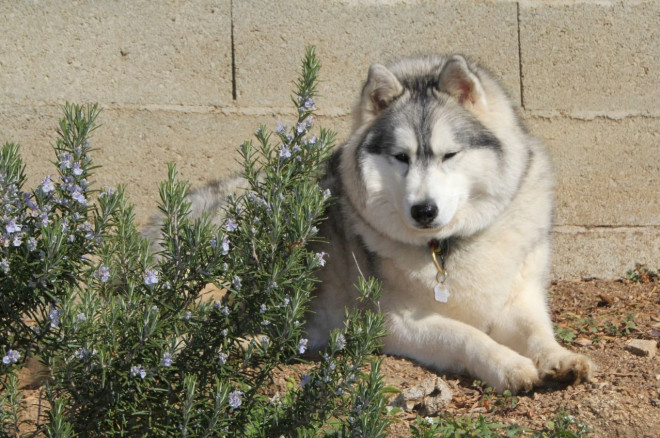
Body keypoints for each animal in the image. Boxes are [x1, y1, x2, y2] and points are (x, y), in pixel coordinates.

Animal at [306, 54, 596, 394]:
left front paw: (559, 358)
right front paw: (508, 364)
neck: (447, 244)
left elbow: (537, 331)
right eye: (401, 156)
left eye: (449, 154)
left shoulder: (518, 298)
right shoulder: (394, 322)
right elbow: (466, 334)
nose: (423, 211)